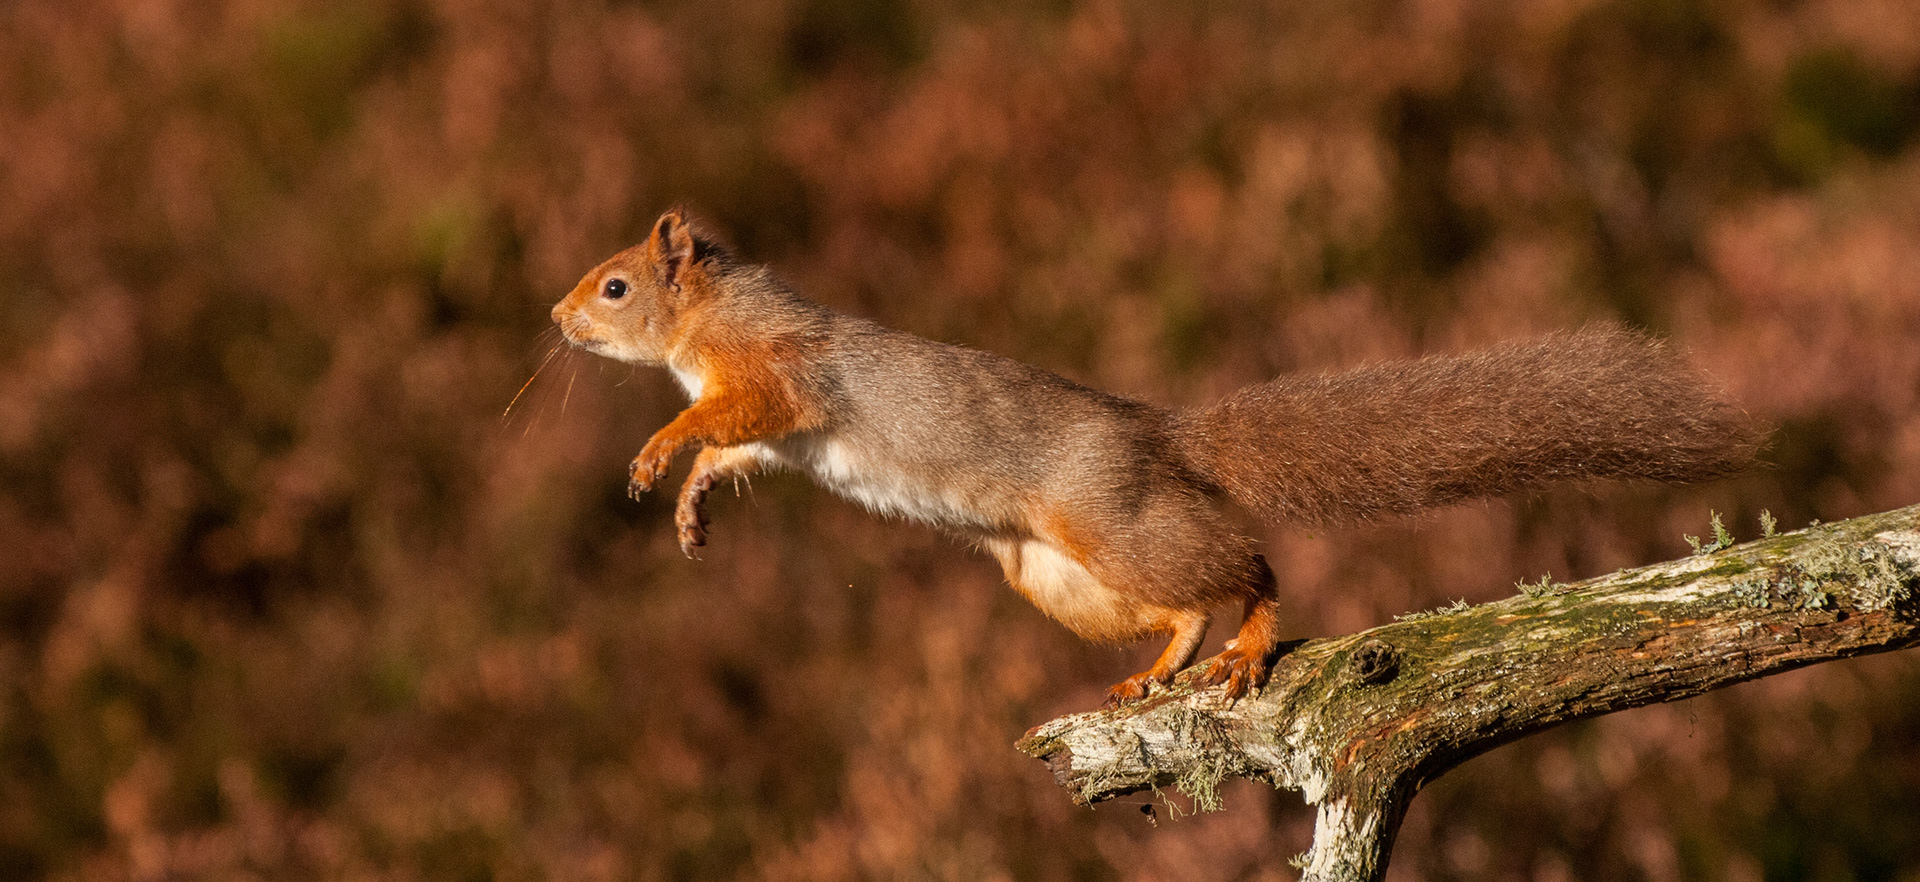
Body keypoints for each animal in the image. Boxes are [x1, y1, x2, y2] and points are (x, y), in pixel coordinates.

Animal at [550, 208, 1763, 706]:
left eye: (615, 285)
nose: (555, 319)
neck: (707, 324)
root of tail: (1160, 439)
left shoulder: (771, 370)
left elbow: (729, 415)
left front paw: (655, 455)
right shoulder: (768, 426)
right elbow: (738, 454)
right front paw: (692, 503)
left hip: (1109, 524)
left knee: (1246, 569)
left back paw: (1244, 643)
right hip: (1057, 580)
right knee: (1188, 600)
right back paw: (1159, 669)